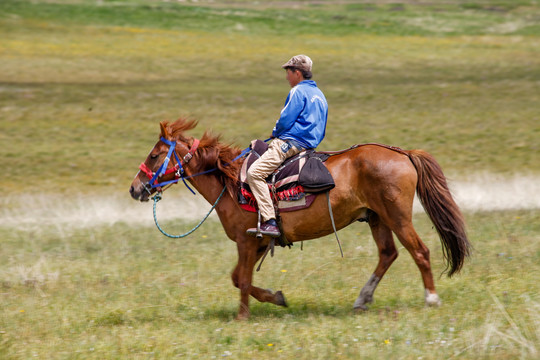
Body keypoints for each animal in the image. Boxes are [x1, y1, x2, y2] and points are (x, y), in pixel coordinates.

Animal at [129, 119, 470, 320]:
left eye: (155, 155)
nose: (135, 188)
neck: (231, 181)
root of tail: (402, 153)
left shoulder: (246, 241)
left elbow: (242, 279)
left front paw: (243, 316)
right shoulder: (259, 242)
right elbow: (239, 278)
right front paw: (276, 298)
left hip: (397, 217)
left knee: (420, 252)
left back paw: (431, 299)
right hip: (377, 218)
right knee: (388, 254)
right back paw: (362, 299)